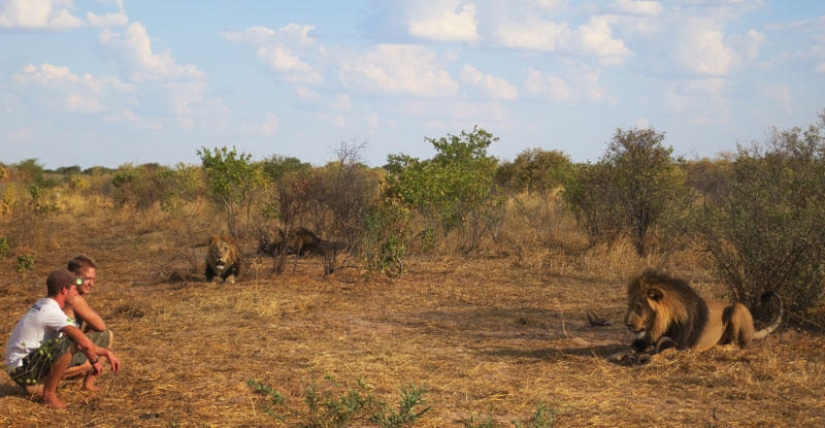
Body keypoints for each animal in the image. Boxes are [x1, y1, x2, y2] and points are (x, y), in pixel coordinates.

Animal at [616, 270, 784, 362]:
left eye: (638, 307)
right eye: (629, 306)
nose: (627, 325)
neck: (659, 326)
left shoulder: (682, 347)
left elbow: (664, 351)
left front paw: (652, 357)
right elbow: (630, 348)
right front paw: (620, 354)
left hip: (737, 307)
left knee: (735, 345)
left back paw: (716, 348)